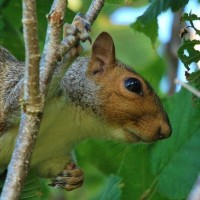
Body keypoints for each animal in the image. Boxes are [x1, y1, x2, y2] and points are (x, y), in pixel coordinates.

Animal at [0, 31, 172, 191]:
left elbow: (50, 167)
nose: (166, 131)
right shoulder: (10, 96)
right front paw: (68, 53)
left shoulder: (52, 153)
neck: (74, 121)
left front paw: (76, 176)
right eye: (133, 85)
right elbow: (17, 101)